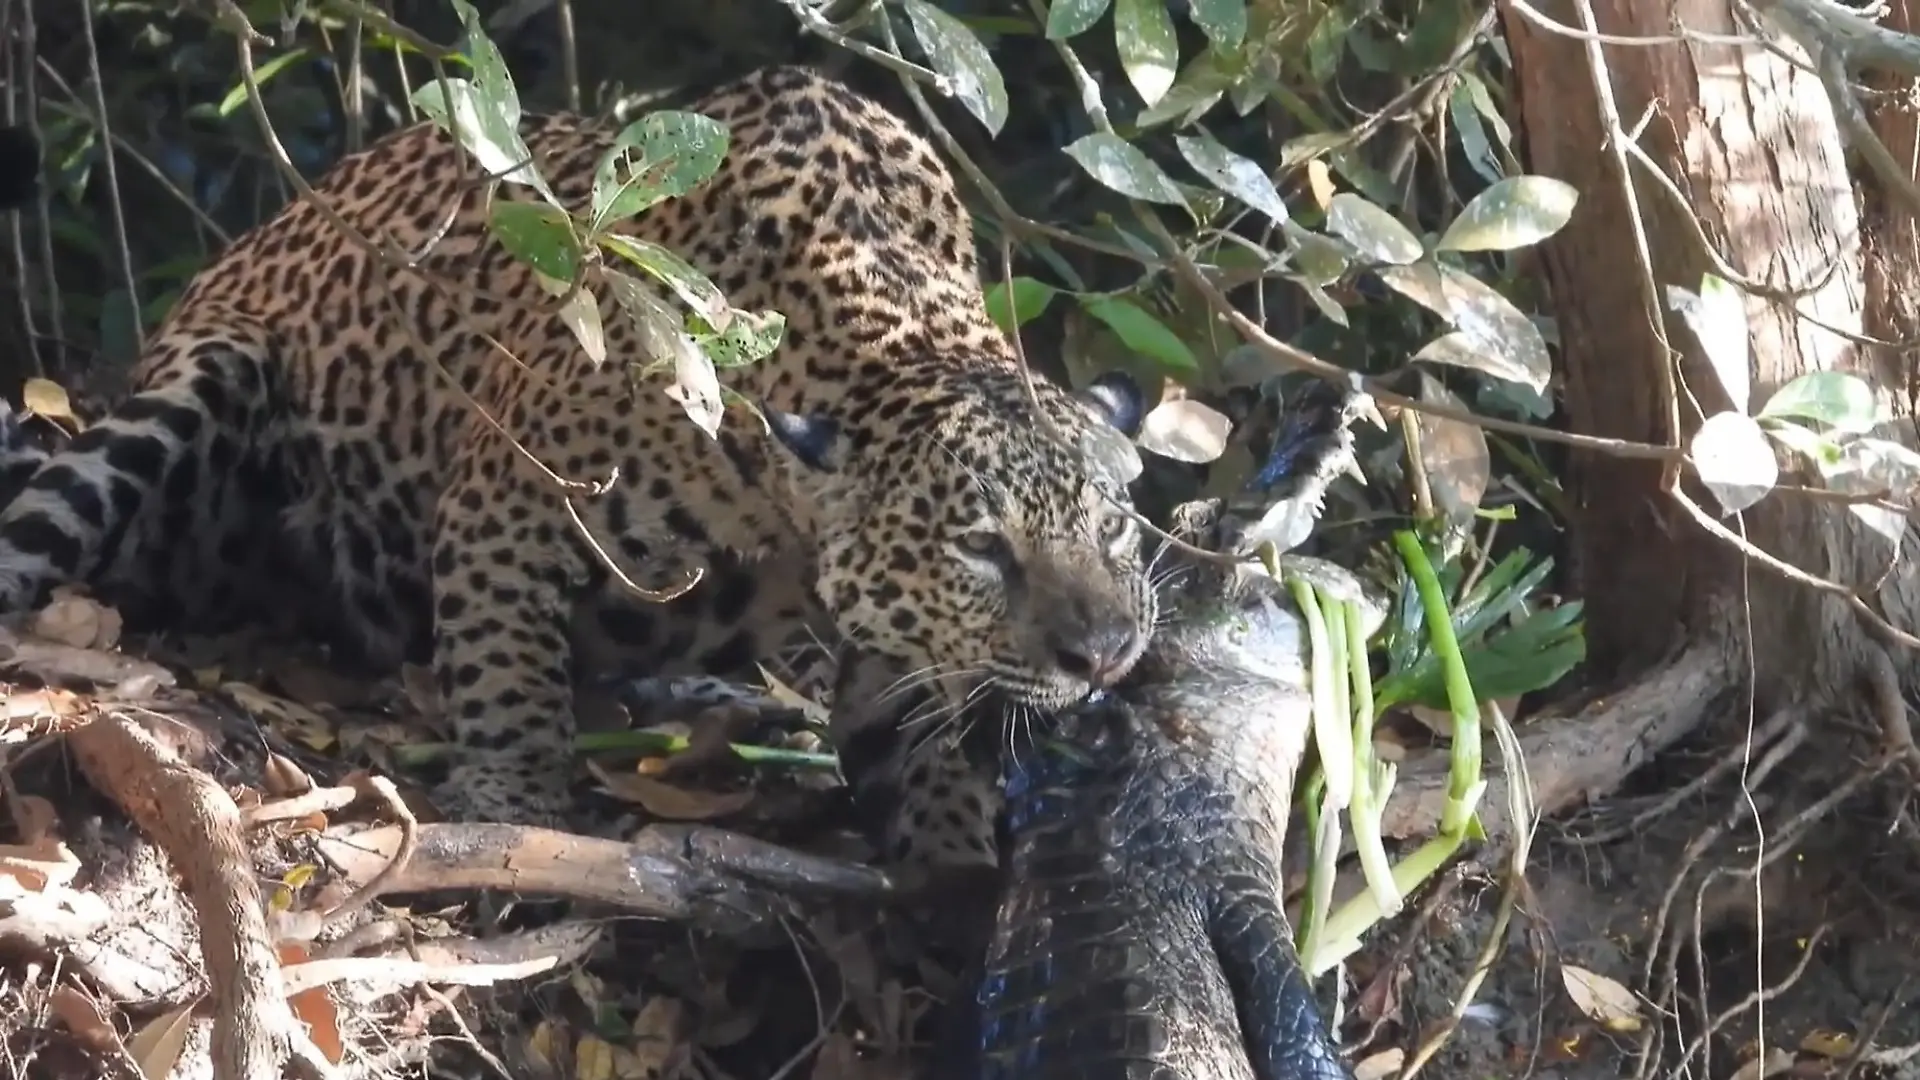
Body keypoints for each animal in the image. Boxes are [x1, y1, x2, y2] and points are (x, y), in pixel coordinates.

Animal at [0, 64, 1158, 880]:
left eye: (1112, 529)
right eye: (983, 549)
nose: (1104, 654)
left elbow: (921, 752)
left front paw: (957, 868)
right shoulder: (515, 495)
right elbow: (509, 665)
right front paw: (516, 802)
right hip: (194, 391)